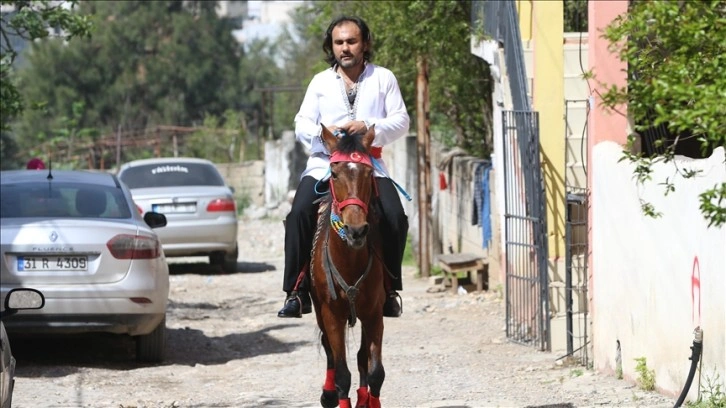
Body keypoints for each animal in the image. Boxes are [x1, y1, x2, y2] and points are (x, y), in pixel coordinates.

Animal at [312, 124, 390, 408]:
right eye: (334, 174)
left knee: (360, 357)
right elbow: (342, 374)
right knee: (329, 352)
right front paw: (334, 394)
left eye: (369, 173)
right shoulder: (331, 314)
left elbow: (375, 370)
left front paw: (368, 400)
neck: (349, 259)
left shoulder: (374, 313)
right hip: (319, 310)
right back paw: (328, 394)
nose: (356, 231)